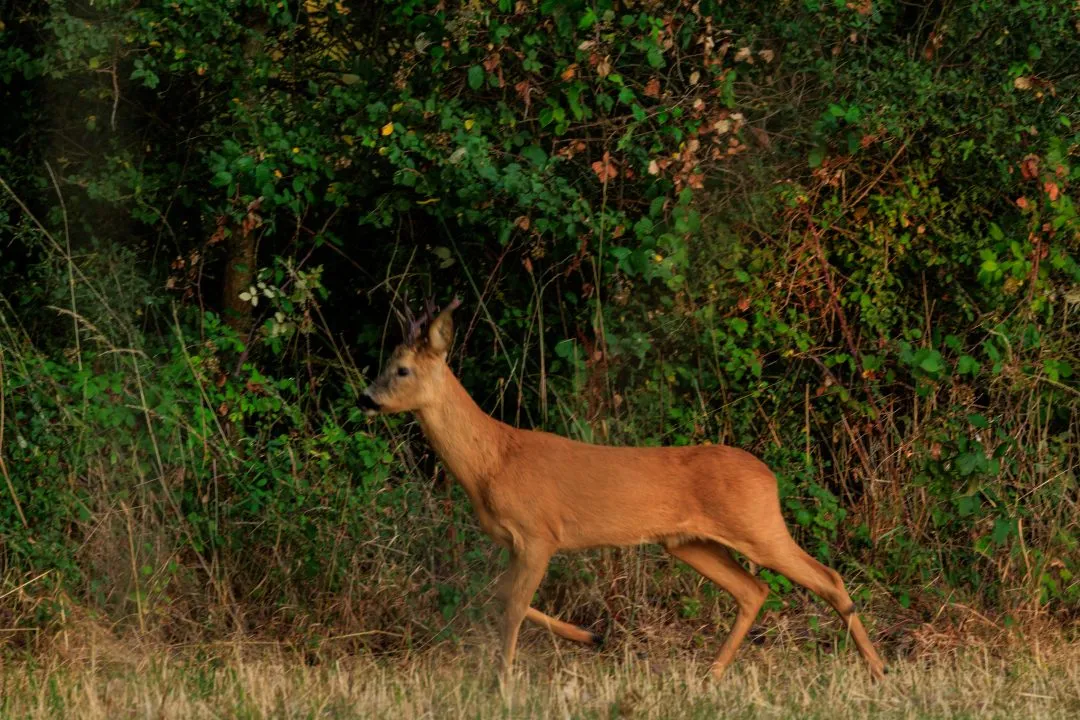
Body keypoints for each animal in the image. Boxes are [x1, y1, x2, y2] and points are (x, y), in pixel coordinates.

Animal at [359, 299, 887, 681]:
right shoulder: (516, 541)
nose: (366, 398)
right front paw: (591, 637)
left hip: (757, 525)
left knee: (827, 578)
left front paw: (502, 681)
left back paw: (878, 668)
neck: (492, 460)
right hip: (689, 542)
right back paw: (712, 675)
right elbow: (502, 595)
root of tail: (769, 477)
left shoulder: (539, 534)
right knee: (754, 590)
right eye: (386, 362)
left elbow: (510, 606)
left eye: (402, 370)